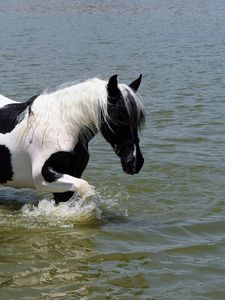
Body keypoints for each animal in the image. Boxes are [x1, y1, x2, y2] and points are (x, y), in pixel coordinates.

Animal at [0, 75, 145, 204]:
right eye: (118, 117)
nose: (135, 162)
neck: (60, 127)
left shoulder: (70, 178)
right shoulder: (43, 178)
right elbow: (85, 188)